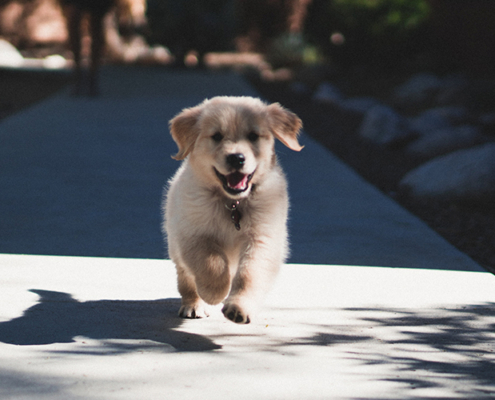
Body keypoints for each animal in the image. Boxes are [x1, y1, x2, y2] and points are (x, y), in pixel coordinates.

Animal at [164, 97, 302, 324]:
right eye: (217, 136)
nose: (236, 158)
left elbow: (250, 274)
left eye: (253, 136)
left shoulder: (263, 238)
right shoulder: (192, 234)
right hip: (175, 246)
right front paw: (214, 292)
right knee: (186, 279)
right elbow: (211, 263)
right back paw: (194, 304)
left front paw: (239, 307)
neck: (233, 203)